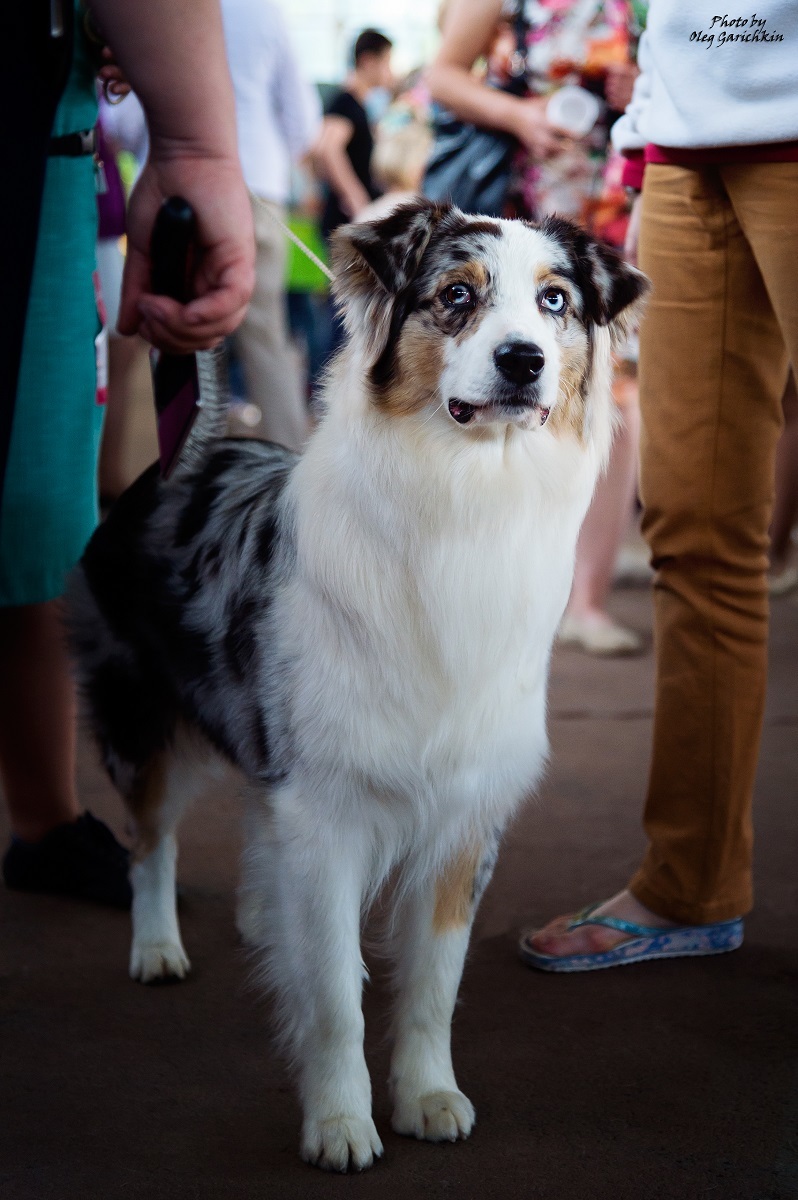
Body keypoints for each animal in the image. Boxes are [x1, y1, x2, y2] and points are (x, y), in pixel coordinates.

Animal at [65, 199, 643, 1171]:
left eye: (555, 302)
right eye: (457, 295)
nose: (522, 359)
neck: (466, 493)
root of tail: (190, 448)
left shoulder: (461, 813)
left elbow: (432, 985)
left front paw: (429, 1096)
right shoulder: (326, 805)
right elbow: (336, 989)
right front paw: (339, 1123)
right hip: (143, 716)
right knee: (152, 838)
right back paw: (157, 945)